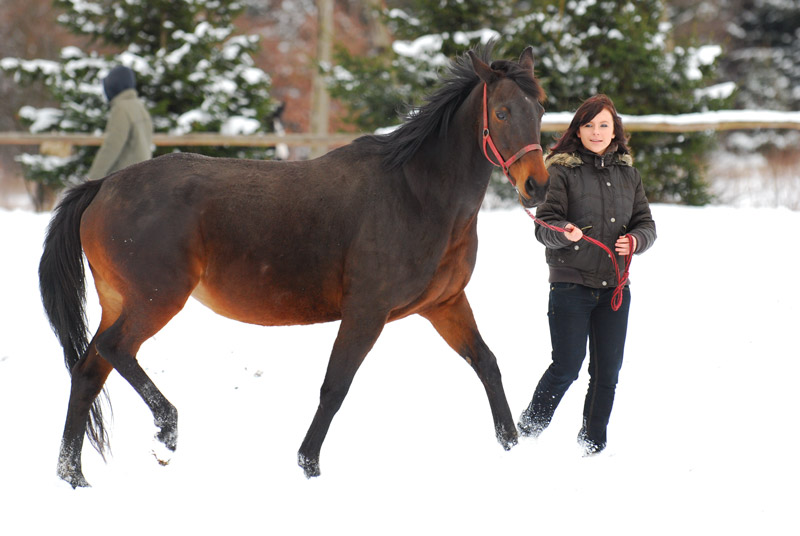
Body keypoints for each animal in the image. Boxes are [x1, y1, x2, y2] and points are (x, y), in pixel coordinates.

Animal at [39, 44, 552, 488]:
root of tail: (102, 186)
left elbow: (487, 363)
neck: (416, 195)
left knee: (89, 371)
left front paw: (512, 443)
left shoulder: (445, 304)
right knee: (115, 349)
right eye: (501, 112)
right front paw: (309, 464)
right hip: (156, 299)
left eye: (541, 110)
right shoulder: (366, 311)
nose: (537, 187)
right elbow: (336, 386)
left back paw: (73, 476)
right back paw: (166, 427)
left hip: (120, 300)